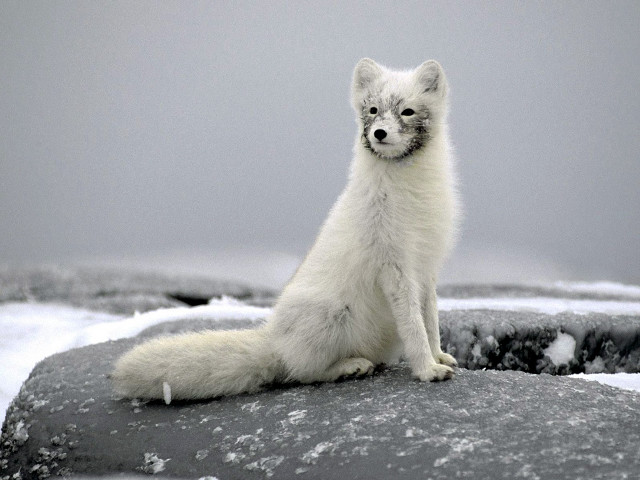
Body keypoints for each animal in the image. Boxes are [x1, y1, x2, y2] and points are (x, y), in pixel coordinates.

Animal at [111, 58, 460, 401]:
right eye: (373, 110)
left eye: (407, 111)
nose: (379, 133)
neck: (411, 190)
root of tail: (274, 339)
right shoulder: (394, 267)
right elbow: (414, 326)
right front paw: (427, 369)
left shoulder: (426, 267)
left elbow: (430, 320)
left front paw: (438, 356)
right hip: (331, 315)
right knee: (301, 372)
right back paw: (349, 367)